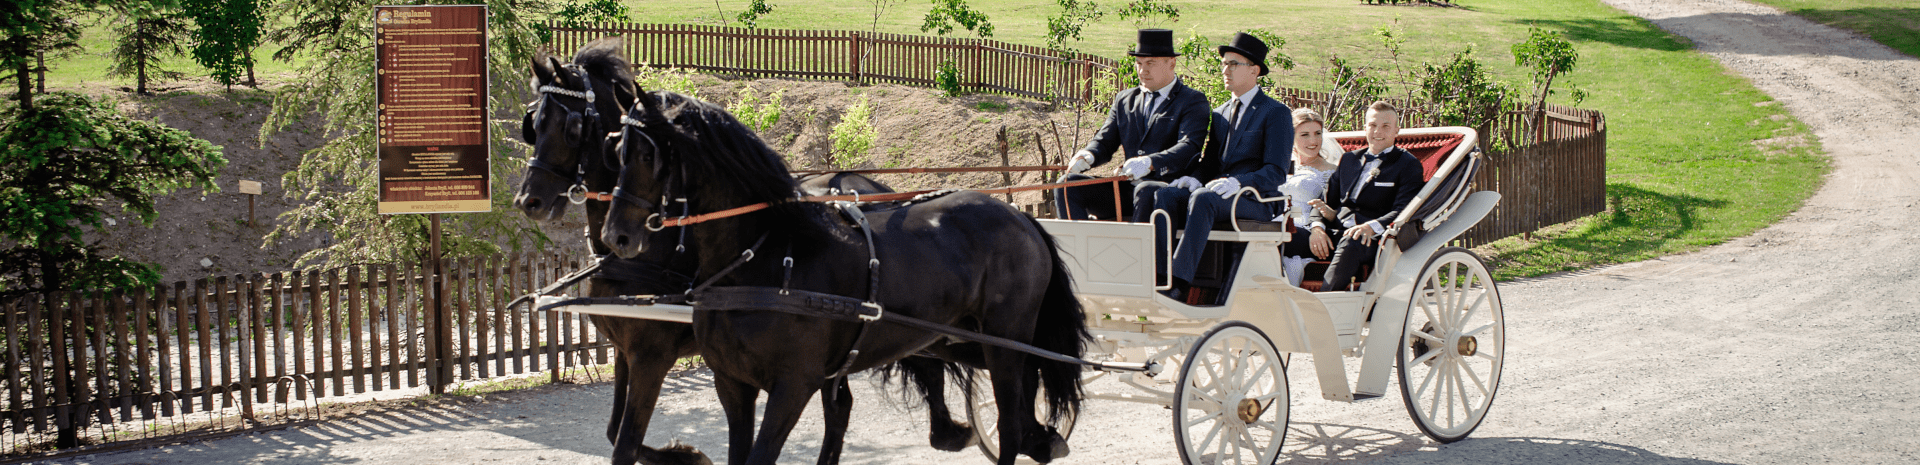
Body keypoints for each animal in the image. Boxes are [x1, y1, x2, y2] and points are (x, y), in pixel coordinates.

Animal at [518, 38, 983, 463]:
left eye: (570, 128)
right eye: (534, 124)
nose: (528, 201)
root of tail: (867, 186)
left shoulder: (652, 355)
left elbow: (626, 440)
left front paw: (687, 455)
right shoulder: (625, 351)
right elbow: (615, 431)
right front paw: (686, 454)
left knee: (922, 361)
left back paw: (953, 430)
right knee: (851, 399)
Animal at [599, 88, 1090, 463]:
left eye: (647, 153)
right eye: (617, 151)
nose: (615, 235)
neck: (765, 260)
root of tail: (1020, 217)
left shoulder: (792, 386)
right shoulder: (732, 385)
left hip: (1003, 340)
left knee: (1010, 419)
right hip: (964, 339)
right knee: (1026, 384)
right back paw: (1039, 438)